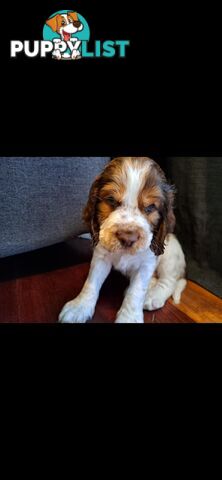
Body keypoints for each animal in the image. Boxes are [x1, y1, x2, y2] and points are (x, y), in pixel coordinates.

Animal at [58, 157, 186, 322]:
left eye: (150, 207)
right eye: (111, 200)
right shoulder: (101, 256)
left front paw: (129, 318)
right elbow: (91, 282)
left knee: (169, 281)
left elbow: (136, 292)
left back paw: (153, 296)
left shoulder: (147, 263)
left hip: (170, 256)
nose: (128, 238)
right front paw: (79, 306)